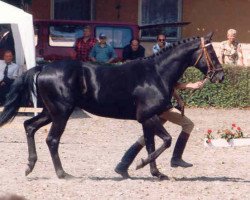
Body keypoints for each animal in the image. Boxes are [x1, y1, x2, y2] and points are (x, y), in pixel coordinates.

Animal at [0, 33, 224, 180]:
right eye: (212, 52)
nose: (220, 76)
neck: (156, 74)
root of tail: (43, 67)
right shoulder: (149, 117)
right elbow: (166, 141)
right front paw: (141, 164)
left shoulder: (147, 119)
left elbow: (150, 144)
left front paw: (156, 173)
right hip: (61, 113)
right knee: (52, 139)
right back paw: (63, 174)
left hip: (50, 112)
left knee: (29, 126)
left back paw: (29, 166)